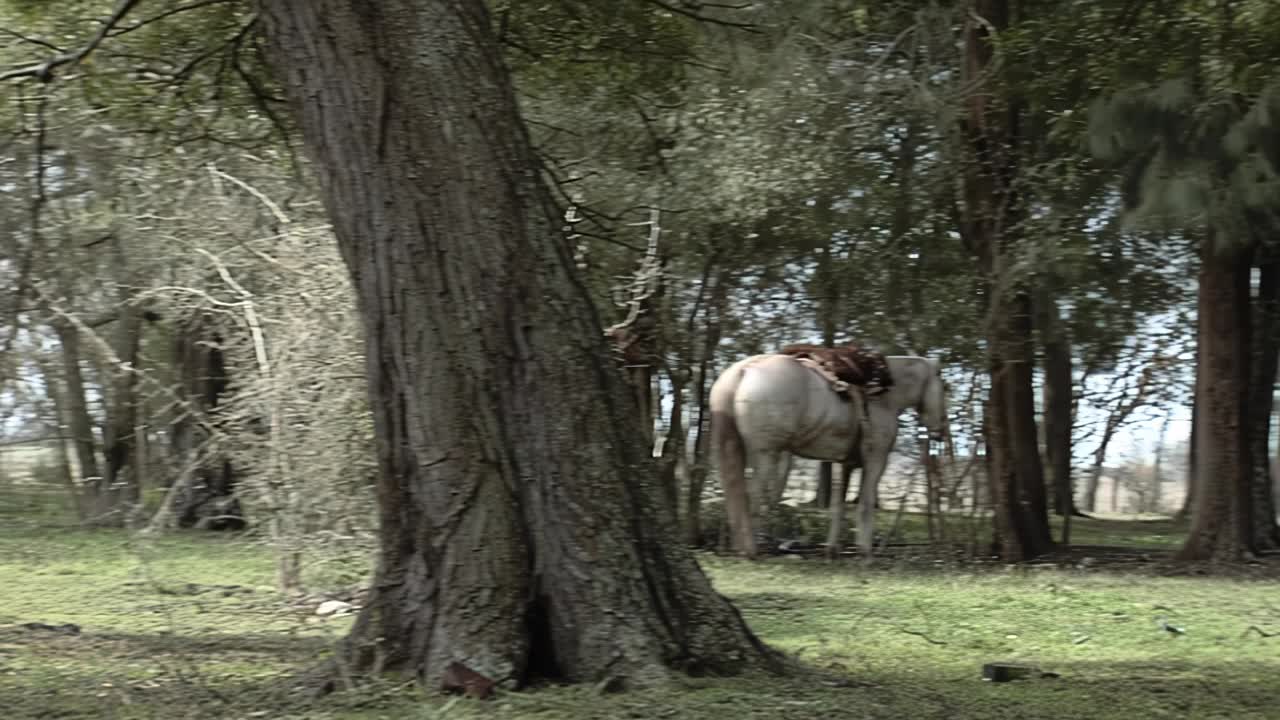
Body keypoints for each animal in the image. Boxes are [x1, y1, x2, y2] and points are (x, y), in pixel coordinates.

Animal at [711, 351, 952, 558]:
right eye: (944, 387)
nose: (941, 432)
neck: (884, 396)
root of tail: (745, 369)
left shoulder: (843, 463)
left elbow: (838, 506)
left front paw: (832, 549)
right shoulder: (876, 460)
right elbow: (865, 503)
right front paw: (865, 550)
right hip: (766, 453)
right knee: (752, 495)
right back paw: (752, 548)